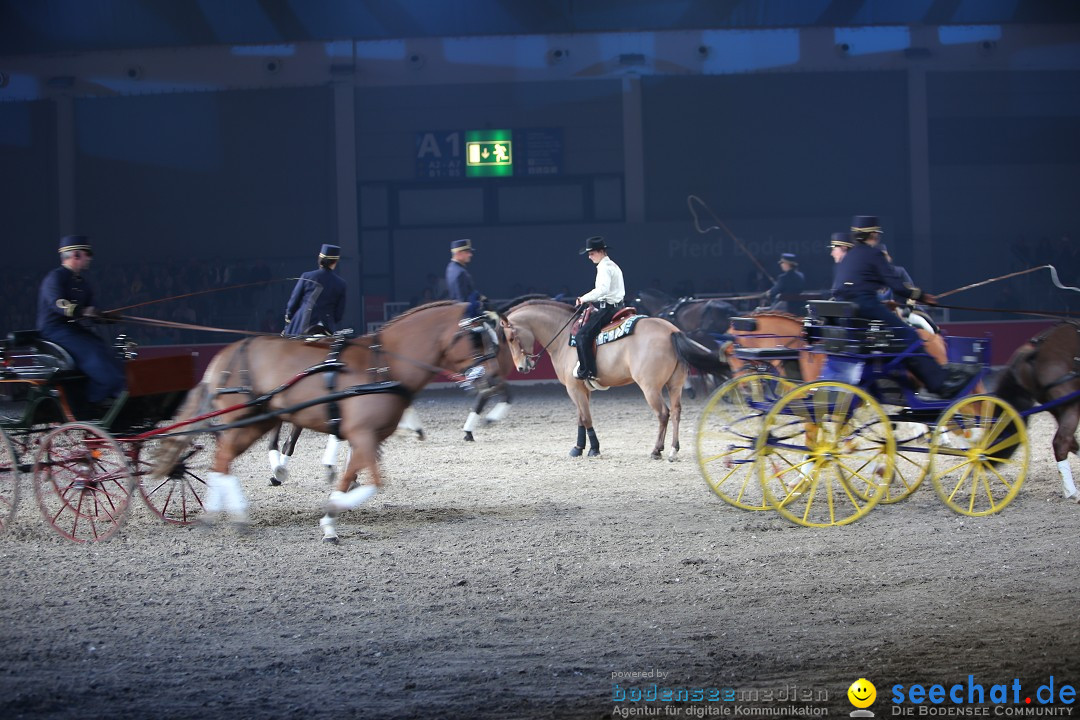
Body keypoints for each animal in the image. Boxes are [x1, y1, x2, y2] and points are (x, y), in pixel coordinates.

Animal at [152, 302, 505, 544]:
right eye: (477, 338)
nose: (493, 379)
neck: (384, 365)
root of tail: (225, 354)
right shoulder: (362, 434)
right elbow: (374, 482)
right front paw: (330, 517)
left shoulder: (369, 438)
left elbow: (351, 478)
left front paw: (330, 518)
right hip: (241, 419)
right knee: (222, 460)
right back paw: (229, 512)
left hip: (255, 422)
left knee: (221, 462)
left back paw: (222, 515)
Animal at [496, 297, 725, 462]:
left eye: (511, 338)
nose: (522, 367)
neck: (564, 336)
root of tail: (672, 331)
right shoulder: (580, 389)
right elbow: (581, 417)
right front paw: (578, 448)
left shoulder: (573, 388)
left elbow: (586, 418)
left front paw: (593, 449)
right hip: (675, 385)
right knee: (676, 412)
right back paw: (673, 450)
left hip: (650, 388)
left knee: (663, 414)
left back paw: (656, 450)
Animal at [989, 321, 1080, 500]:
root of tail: (1036, 349)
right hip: (1071, 405)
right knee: (1061, 442)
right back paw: (1072, 492)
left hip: (1058, 406)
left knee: (1070, 442)